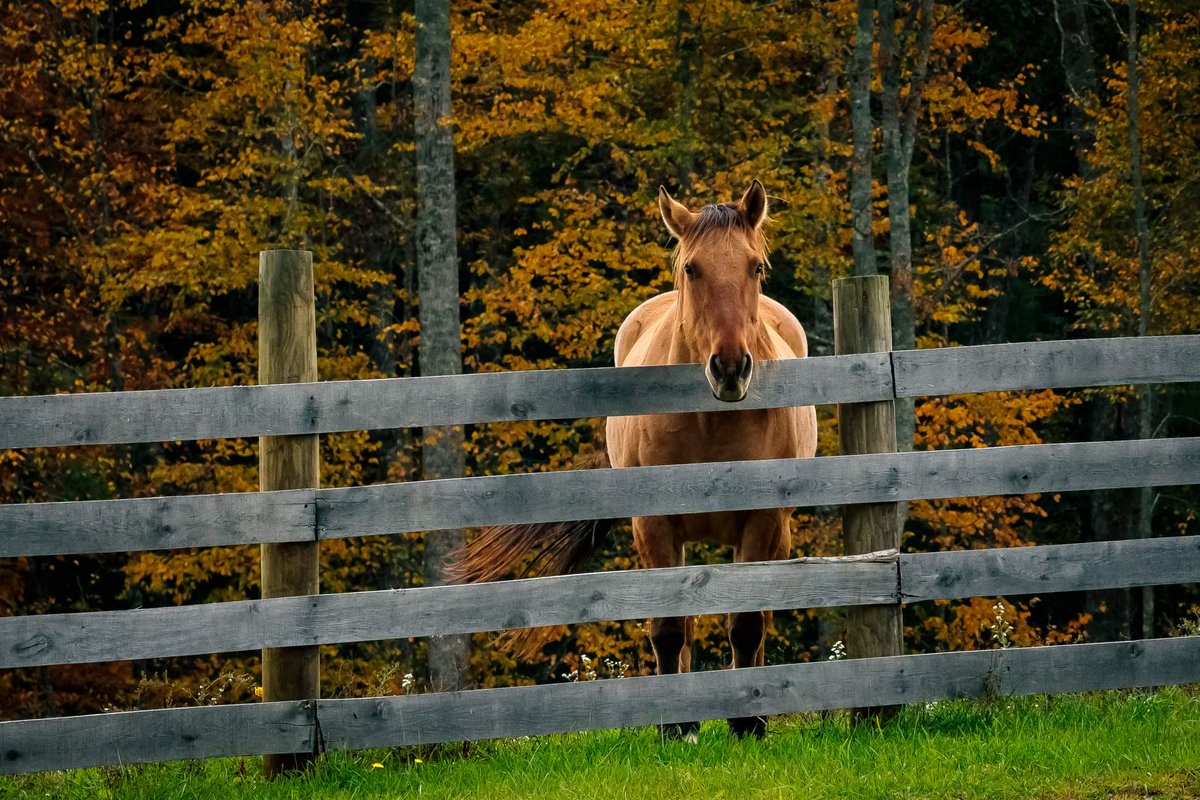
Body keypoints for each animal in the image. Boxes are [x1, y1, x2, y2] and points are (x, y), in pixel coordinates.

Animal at [449, 181, 818, 740]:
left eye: (756, 267)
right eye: (692, 269)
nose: (731, 368)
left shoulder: (763, 522)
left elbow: (747, 624)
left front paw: (748, 722)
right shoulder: (655, 524)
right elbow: (668, 628)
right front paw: (675, 726)